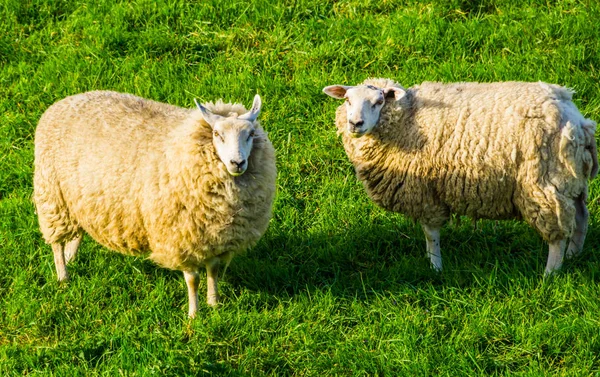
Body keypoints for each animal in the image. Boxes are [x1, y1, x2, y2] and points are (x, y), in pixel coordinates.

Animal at [32, 89, 276, 316]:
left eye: (250, 134)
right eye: (217, 134)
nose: (237, 163)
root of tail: (65, 101)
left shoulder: (215, 238)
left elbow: (213, 271)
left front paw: (213, 304)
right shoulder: (181, 238)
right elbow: (193, 280)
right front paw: (194, 315)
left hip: (80, 200)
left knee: (78, 232)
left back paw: (71, 257)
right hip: (53, 197)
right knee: (56, 243)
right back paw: (63, 276)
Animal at [326, 78, 596, 274]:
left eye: (379, 101)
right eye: (347, 100)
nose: (355, 123)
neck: (408, 119)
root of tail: (576, 120)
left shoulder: (425, 191)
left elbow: (431, 233)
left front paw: (435, 267)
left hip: (543, 182)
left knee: (557, 235)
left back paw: (551, 274)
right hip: (569, 182)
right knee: (581, 217)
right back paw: (574, 256)